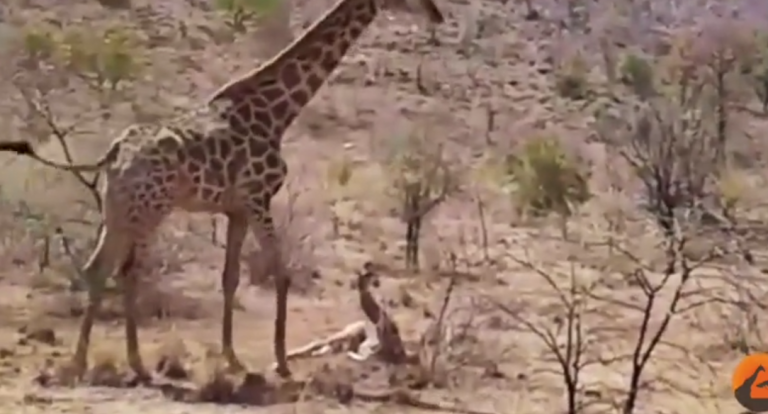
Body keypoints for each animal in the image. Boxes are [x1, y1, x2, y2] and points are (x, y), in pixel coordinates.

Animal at [0, 0, 444, 383]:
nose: (436, 14)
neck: (278, 112)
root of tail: (114, 153)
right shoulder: (259, 198)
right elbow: (281, 272)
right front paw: (281, 361)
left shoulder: (237, 209)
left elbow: (230, 278)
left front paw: (232, 358)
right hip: (150, 211)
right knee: (128, 272)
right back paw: (134, 364)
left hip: (119, 212)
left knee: (99, 269)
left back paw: (82, 363)